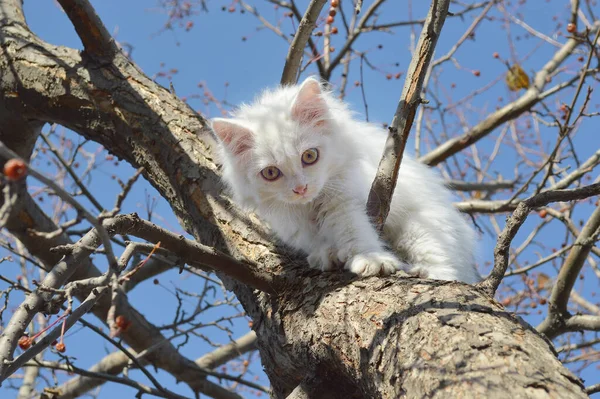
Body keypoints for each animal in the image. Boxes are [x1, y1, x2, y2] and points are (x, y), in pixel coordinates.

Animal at [210, 77, 478, 284]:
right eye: (271, 173)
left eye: (309, 156)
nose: (300, 188)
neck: (310, 205)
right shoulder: (292, 222)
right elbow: (315, 239)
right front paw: (325, 255)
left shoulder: (343, 198)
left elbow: (353, 230)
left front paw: (371, 259)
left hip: (421, 229)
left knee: (446, 267)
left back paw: (424, 272)